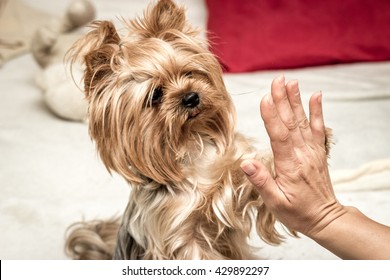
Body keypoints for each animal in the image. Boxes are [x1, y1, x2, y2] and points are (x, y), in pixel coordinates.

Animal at [64, 0, 330, 260]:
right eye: (155, 94)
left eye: (189, 73)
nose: (191, 97)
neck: (190, 141)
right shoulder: (179, 235)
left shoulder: (235, 186)